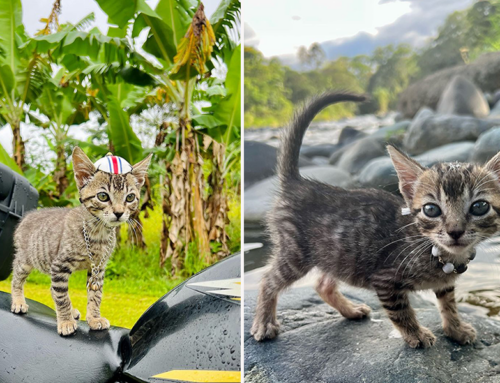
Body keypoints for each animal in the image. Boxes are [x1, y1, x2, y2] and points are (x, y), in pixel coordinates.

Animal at [10, 148, 151, 338]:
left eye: (130, 198)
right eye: (103, 196)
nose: (119, 212)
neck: (99, 233)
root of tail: (28, 215)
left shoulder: (98, 268)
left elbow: (95, 296)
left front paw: (94, 318)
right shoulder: (60, 265)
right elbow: (62, 297)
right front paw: (66, 321)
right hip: (26, 259)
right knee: (17, 278)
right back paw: (18, 301)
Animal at [252, 92, 500, 348]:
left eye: (479, 207)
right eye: (431, 210)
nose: (455, 231)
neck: (435, 250)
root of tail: (298, 182)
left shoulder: (445, 282)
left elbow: (448, 302)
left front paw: (456, 328)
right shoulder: (385, 279)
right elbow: (401, 312)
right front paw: (416, 334)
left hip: (336, 254)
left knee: (322, 284)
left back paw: (350, 310)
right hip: (296, 252)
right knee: (268, 280)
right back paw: (264, 323)